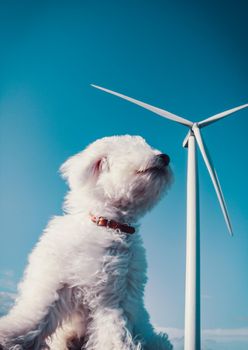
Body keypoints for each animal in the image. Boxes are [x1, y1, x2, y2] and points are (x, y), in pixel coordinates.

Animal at [0, 135, 173, 348]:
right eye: (131, 149)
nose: (165, 157)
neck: (108, 224)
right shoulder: (56, 283)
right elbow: (36, 315)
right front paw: (8, 336)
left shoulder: (113, 297)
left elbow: (114, 332)